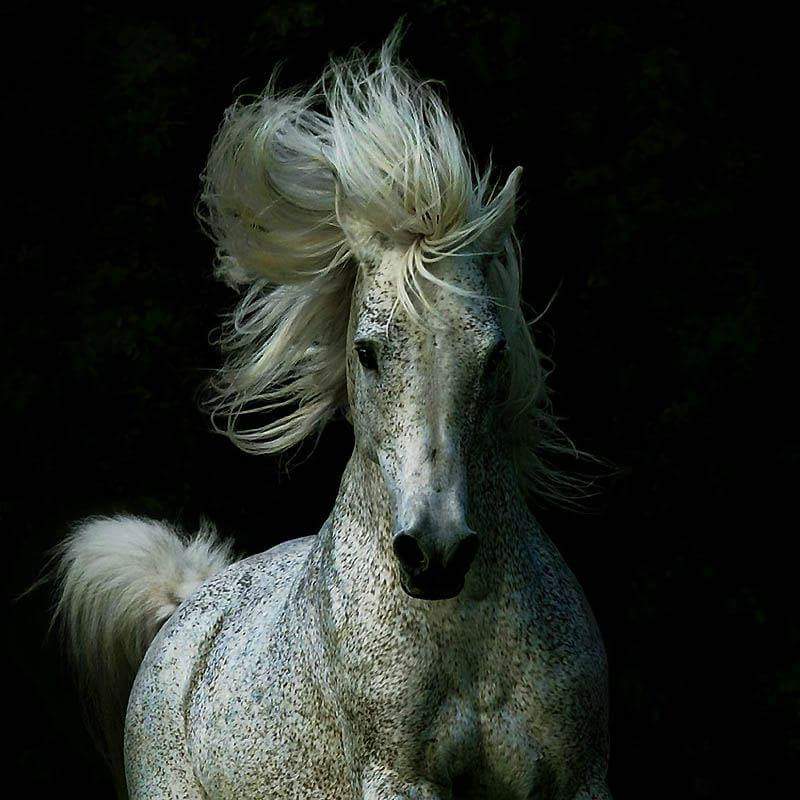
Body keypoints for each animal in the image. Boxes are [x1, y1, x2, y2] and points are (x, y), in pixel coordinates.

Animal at [52, 30, 612, 800]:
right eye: (368, 352)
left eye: (495, 353)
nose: (435, 554)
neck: (463, 631)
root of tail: (189, 607)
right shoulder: (398, 781)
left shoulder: (581, 779)